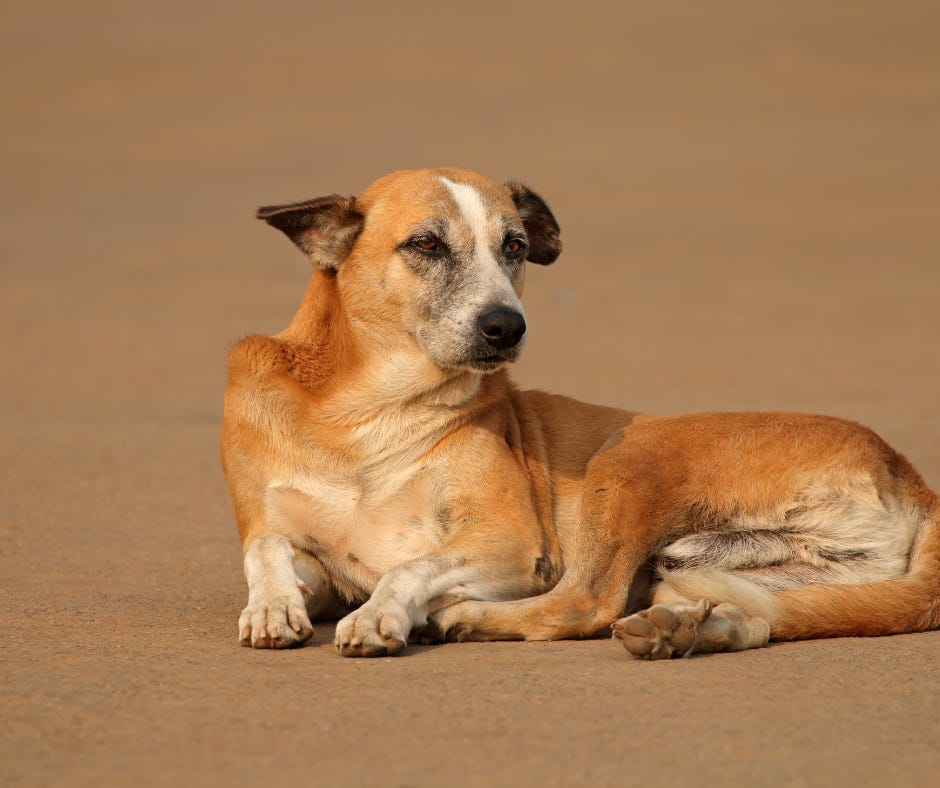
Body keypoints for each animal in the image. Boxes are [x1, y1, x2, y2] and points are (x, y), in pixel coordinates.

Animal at [221, 167, 940, 659]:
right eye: (425, 245)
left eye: (514, 246)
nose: (506, 327)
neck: (363, 418)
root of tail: (910, 474)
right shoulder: (309, 553)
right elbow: (267, 546)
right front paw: (272, 607)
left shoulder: (513, 543)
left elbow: (408, 567)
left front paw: (380, 615)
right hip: (736, 573)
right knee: (758, 617)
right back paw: (690, 630)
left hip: (626, 458)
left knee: (585, 602)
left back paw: (461, 617)